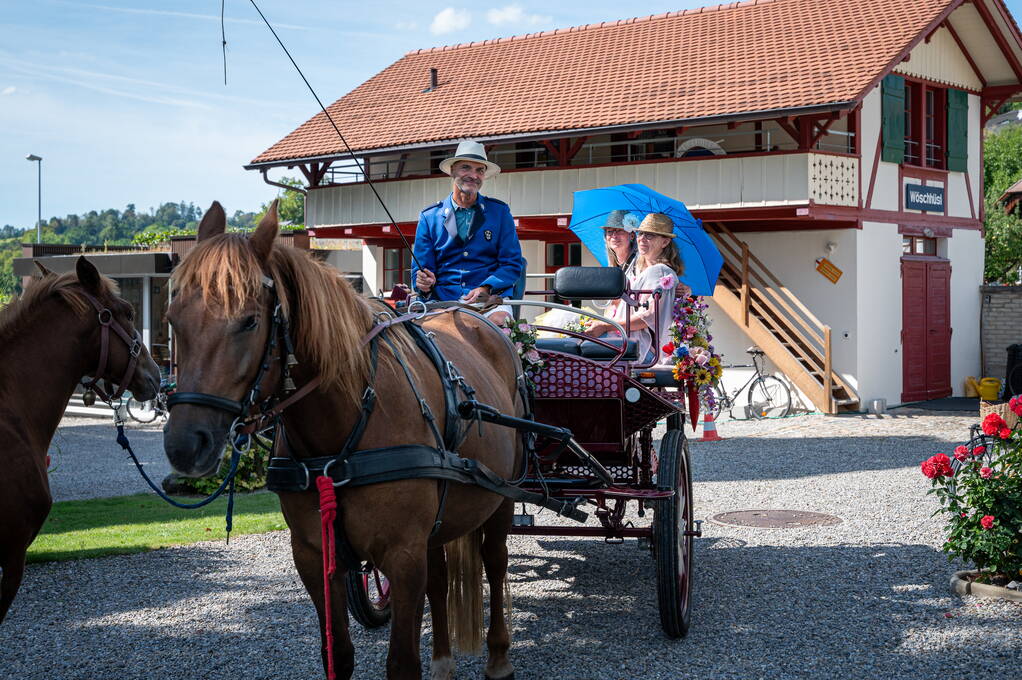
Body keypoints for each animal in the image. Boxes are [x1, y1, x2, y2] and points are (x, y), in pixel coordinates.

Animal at [163, 202, 523, 678]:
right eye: (173, 320)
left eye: (250, 321)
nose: (184, 444)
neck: (341, 438)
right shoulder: (315, 556)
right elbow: (338, 653)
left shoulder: (403, 556)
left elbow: (402, 662)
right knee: (441, 575)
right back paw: (443, 660)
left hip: (502, 495)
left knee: (495, 562)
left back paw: (499, 656)